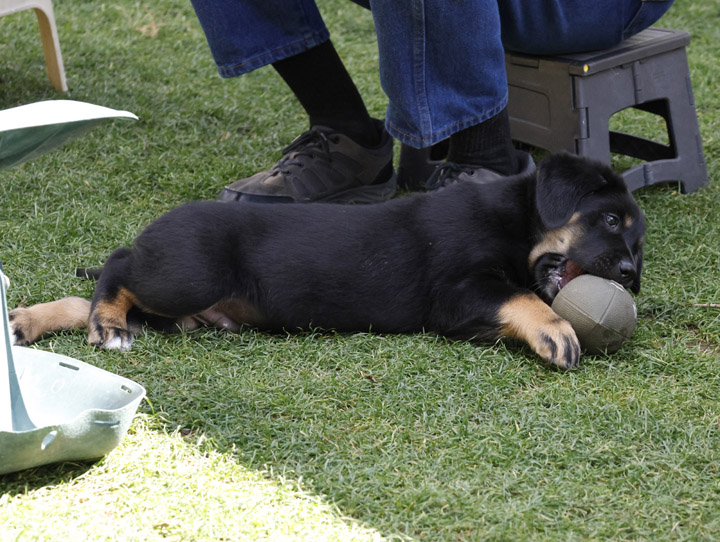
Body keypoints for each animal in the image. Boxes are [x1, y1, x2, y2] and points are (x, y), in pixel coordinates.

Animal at [8, 155, 644, 372]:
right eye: (612, 221)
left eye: (639, 247)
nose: (631, 277)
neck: (515, 221)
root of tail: (156, 229)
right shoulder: (457, 291)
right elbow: (523, 295)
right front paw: (557, 332)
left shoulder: (468, 312)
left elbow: (516, 298)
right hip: (189, 273)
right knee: (115, 266)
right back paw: (106, 325)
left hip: (176, 307)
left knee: (97, 294)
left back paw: (27, 322)